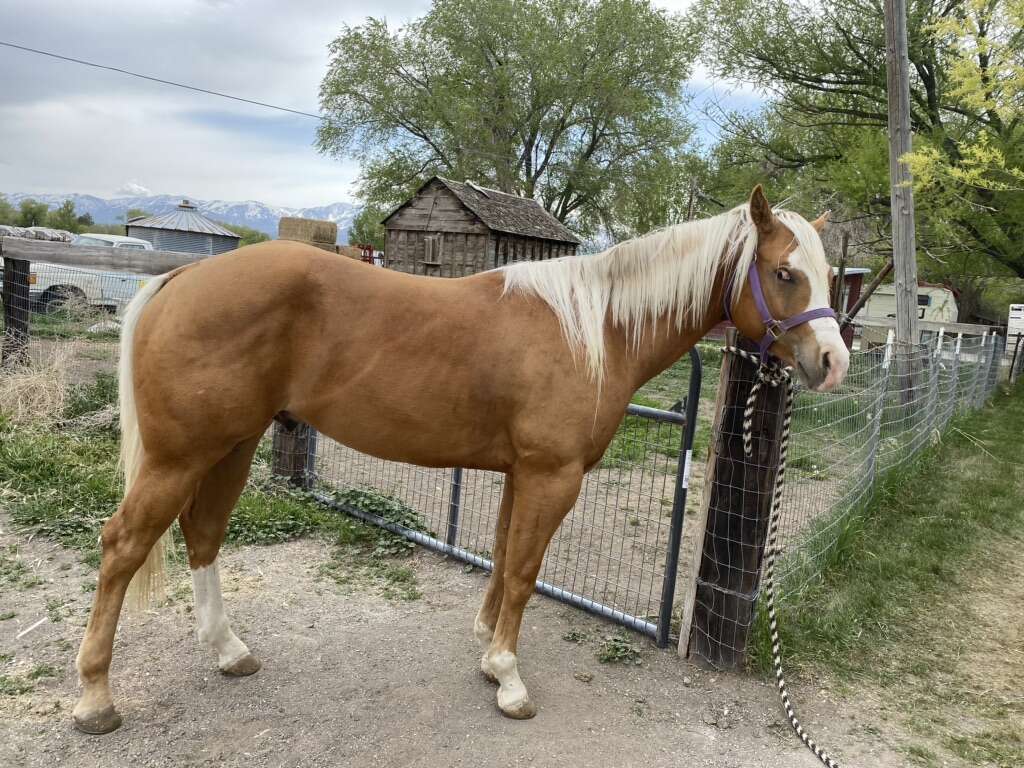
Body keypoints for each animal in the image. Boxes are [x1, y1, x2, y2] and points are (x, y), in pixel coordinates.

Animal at [72, 185, 849, 734]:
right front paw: (509, 678)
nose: (833, 361)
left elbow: (504, 558)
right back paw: (95, 699)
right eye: (784, 272)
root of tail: (180, 279)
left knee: (202, 536)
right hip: (180, 456)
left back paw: (230, 652)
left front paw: (486, 651)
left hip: (230, 448)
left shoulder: (520, 474)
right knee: (123, 546)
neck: (594, 328)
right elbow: (526, 572)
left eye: (827, 273)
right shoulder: (551, 476)